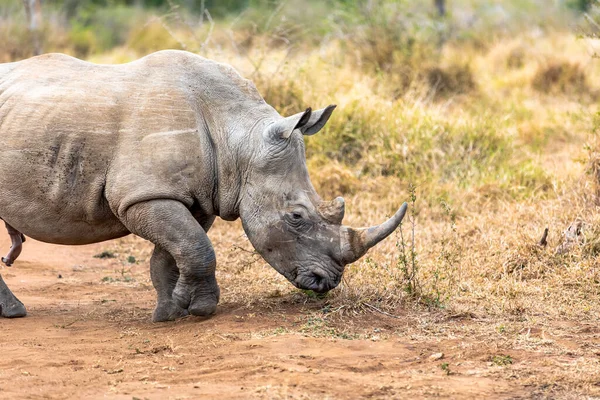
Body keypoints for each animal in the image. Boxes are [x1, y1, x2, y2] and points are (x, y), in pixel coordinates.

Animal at [0, 50, 408, 322]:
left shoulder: (200, 196)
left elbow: (176, 250)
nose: (327, 282)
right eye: (296, 216)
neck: (239, 137)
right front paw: (194, 309)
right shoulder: (142, 195)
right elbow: (196, 246)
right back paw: (16, 314)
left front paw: (173, 311)